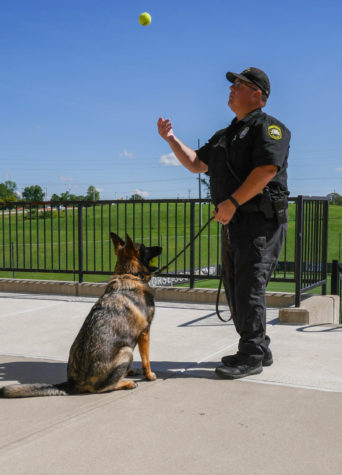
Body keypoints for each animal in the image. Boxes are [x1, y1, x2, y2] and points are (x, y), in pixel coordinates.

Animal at [0, 234, 162, 398]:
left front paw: (131, 371)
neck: (129, 274)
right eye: (145, 248)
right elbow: (146, 359)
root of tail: (73, 383)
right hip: (126, 350)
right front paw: (149, 375)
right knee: (103, 388)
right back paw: (126, 383)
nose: (161, 247)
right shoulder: (145, 333)